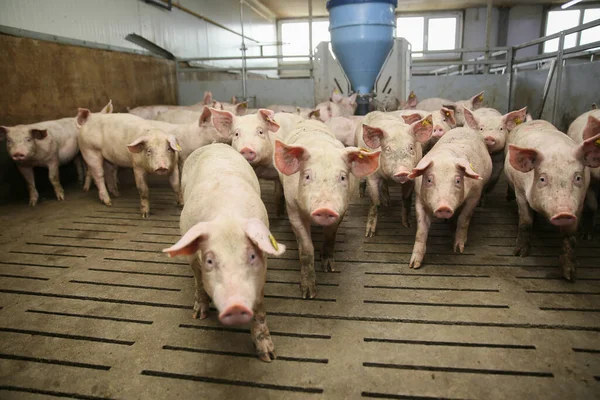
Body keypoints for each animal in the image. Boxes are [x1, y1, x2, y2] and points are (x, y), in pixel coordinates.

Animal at [162, 144, 286, 362]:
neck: (228, 217)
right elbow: (199, 281)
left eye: (251, 256)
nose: (236, 306)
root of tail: (213, 144)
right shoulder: (193, 256)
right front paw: (199, 315)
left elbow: (259, 306)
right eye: (210, 261)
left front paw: (269, 356)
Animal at [274, 119, 380, 296]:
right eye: (307, 176)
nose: (325, 209)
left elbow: (330, 236)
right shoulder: (293, 210)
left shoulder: (341, 210)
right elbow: (306, 248)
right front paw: (308, 293)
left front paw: (330, 268)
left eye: (342, 177)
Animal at [408, 126, 492, 270]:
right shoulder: (419, 198)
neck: (445, 158)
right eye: (429, 180)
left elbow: (464, 219)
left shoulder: (474, 195)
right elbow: (421, 230)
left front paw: (458, 250)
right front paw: (414, 265)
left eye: (458, 181)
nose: (443, 207)